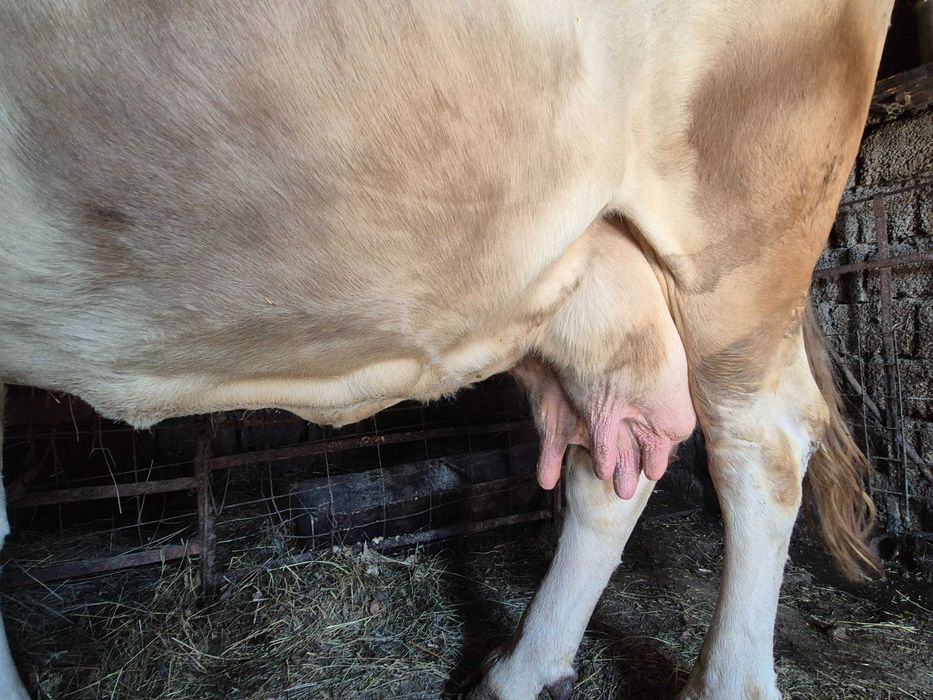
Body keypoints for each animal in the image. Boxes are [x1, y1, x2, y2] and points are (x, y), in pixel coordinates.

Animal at [0, 2, 892, 698]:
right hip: (598, 296)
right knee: (612, 466)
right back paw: (520, 671)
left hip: (743, 221)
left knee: (759, 444)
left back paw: (721, 682)